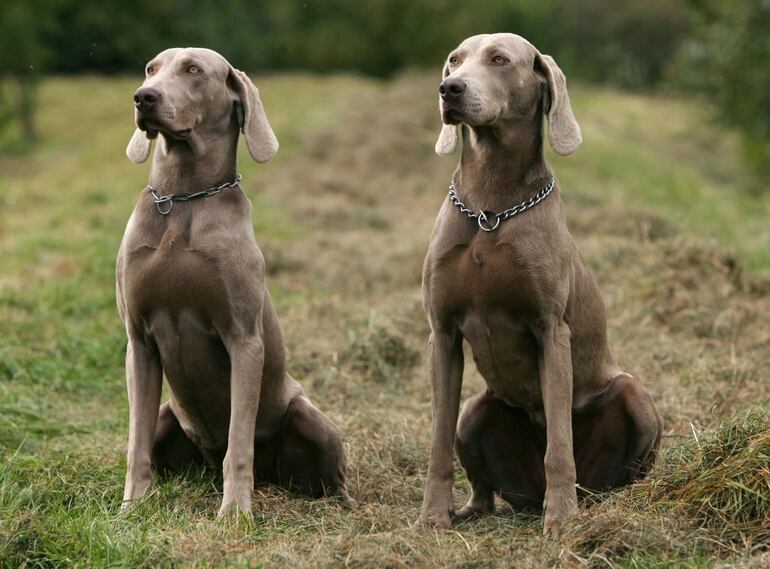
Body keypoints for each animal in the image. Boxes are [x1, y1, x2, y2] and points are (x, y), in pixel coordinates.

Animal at [116, 47, 354, 516]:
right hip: (168, 414)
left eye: (193, 69)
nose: (143, 96)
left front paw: (235, 514)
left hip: (312, 419)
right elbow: (136, 442)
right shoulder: (139, 340)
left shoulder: (244, 339)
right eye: (152, 68)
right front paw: (131, 507)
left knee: (327, 474)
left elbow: (239, 440)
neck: (183, 199)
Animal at [416, 34, 664, 532]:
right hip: (476, 412)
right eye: (454, 59)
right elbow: (437, 440)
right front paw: (432, 516)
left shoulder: (551, 331)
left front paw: (561, 518)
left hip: (633, 396)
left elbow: (560, 446)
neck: (490, 207)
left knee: (620, 468)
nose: (449, 88)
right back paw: (470, 510)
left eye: (499, 59)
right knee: (483, 486)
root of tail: (526, 495)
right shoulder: (443, 333)